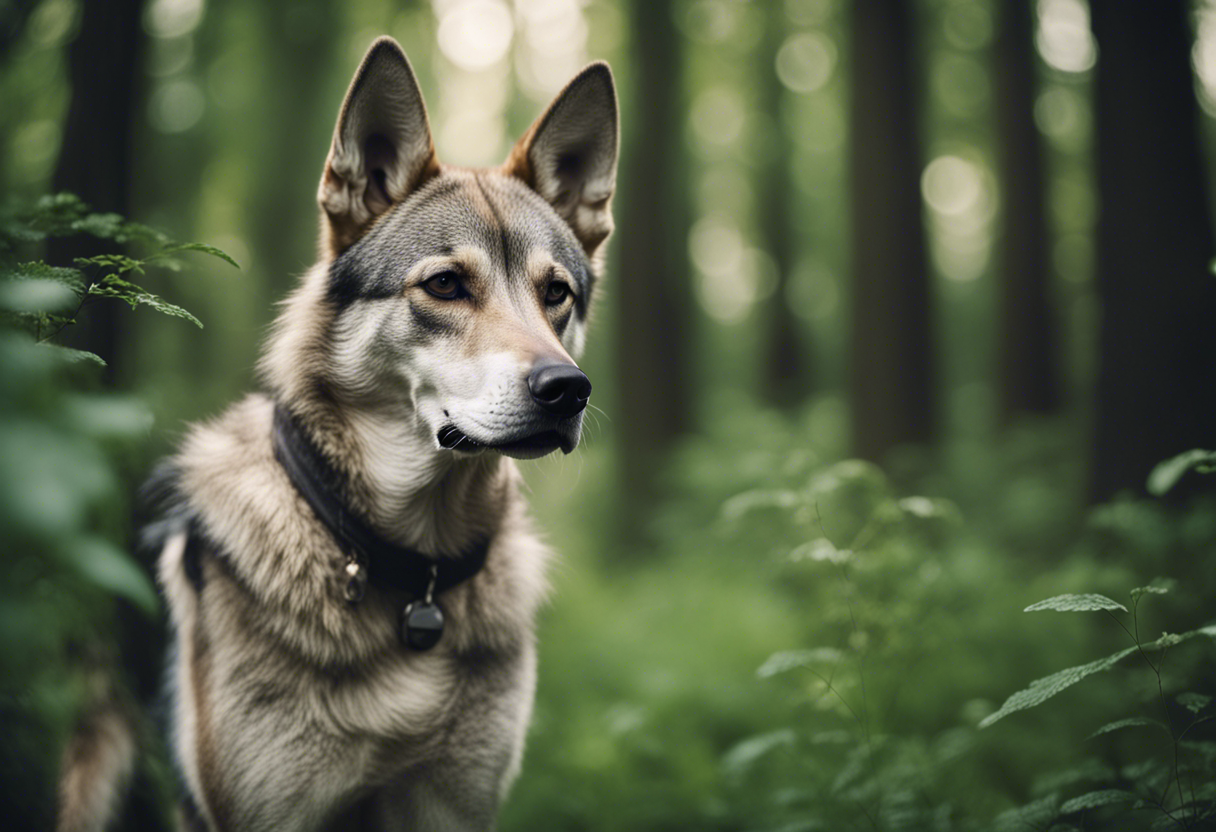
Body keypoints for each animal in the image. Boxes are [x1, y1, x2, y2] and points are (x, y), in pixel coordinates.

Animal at [57, 35, 617, 827]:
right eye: (445, 285)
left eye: (556, 294)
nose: (567, 390)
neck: (414, 577)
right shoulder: (266, 811)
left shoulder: (453, 804)